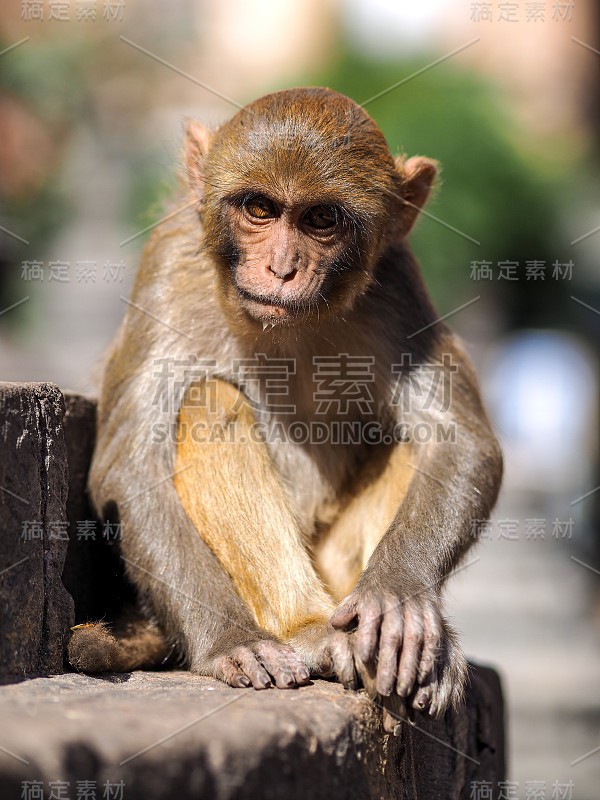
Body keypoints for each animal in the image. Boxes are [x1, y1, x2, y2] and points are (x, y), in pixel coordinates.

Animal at [68, 84, 504, 728]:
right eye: (259, 209)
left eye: (320, 219)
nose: (281, 268)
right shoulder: (170, 263)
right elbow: (131, 468)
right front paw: (230, 641)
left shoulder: (397, 281)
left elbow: (461, 441)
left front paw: (398, 596)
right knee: (208, 401)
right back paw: (306, 630)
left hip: (338, 573)